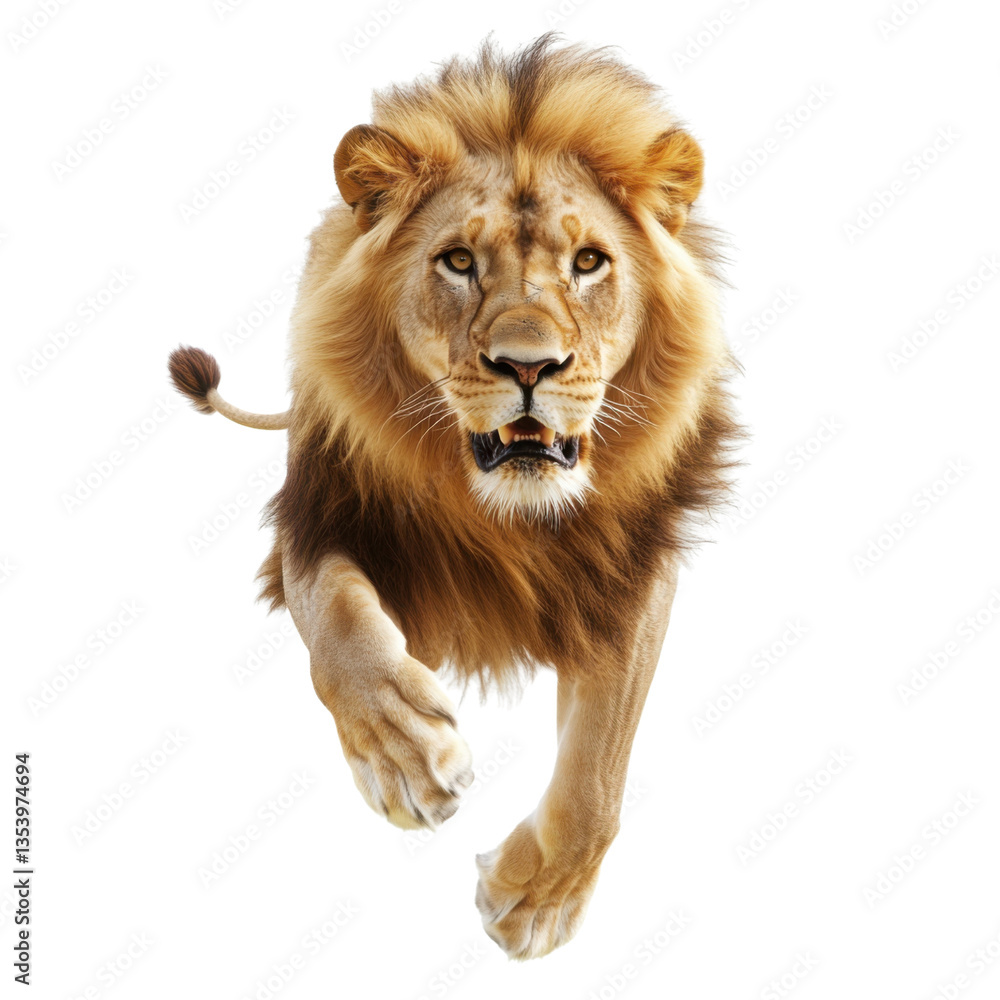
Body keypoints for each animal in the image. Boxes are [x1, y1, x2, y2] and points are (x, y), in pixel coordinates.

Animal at [168, 35, 740, 960]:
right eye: (460, 262)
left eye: (589, 262)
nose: (528, 366)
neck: (506, 514)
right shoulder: (313, 519)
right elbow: (340, 625)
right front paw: (406, 754)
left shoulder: (631, 568)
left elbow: (600, 762)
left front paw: (536, 897)